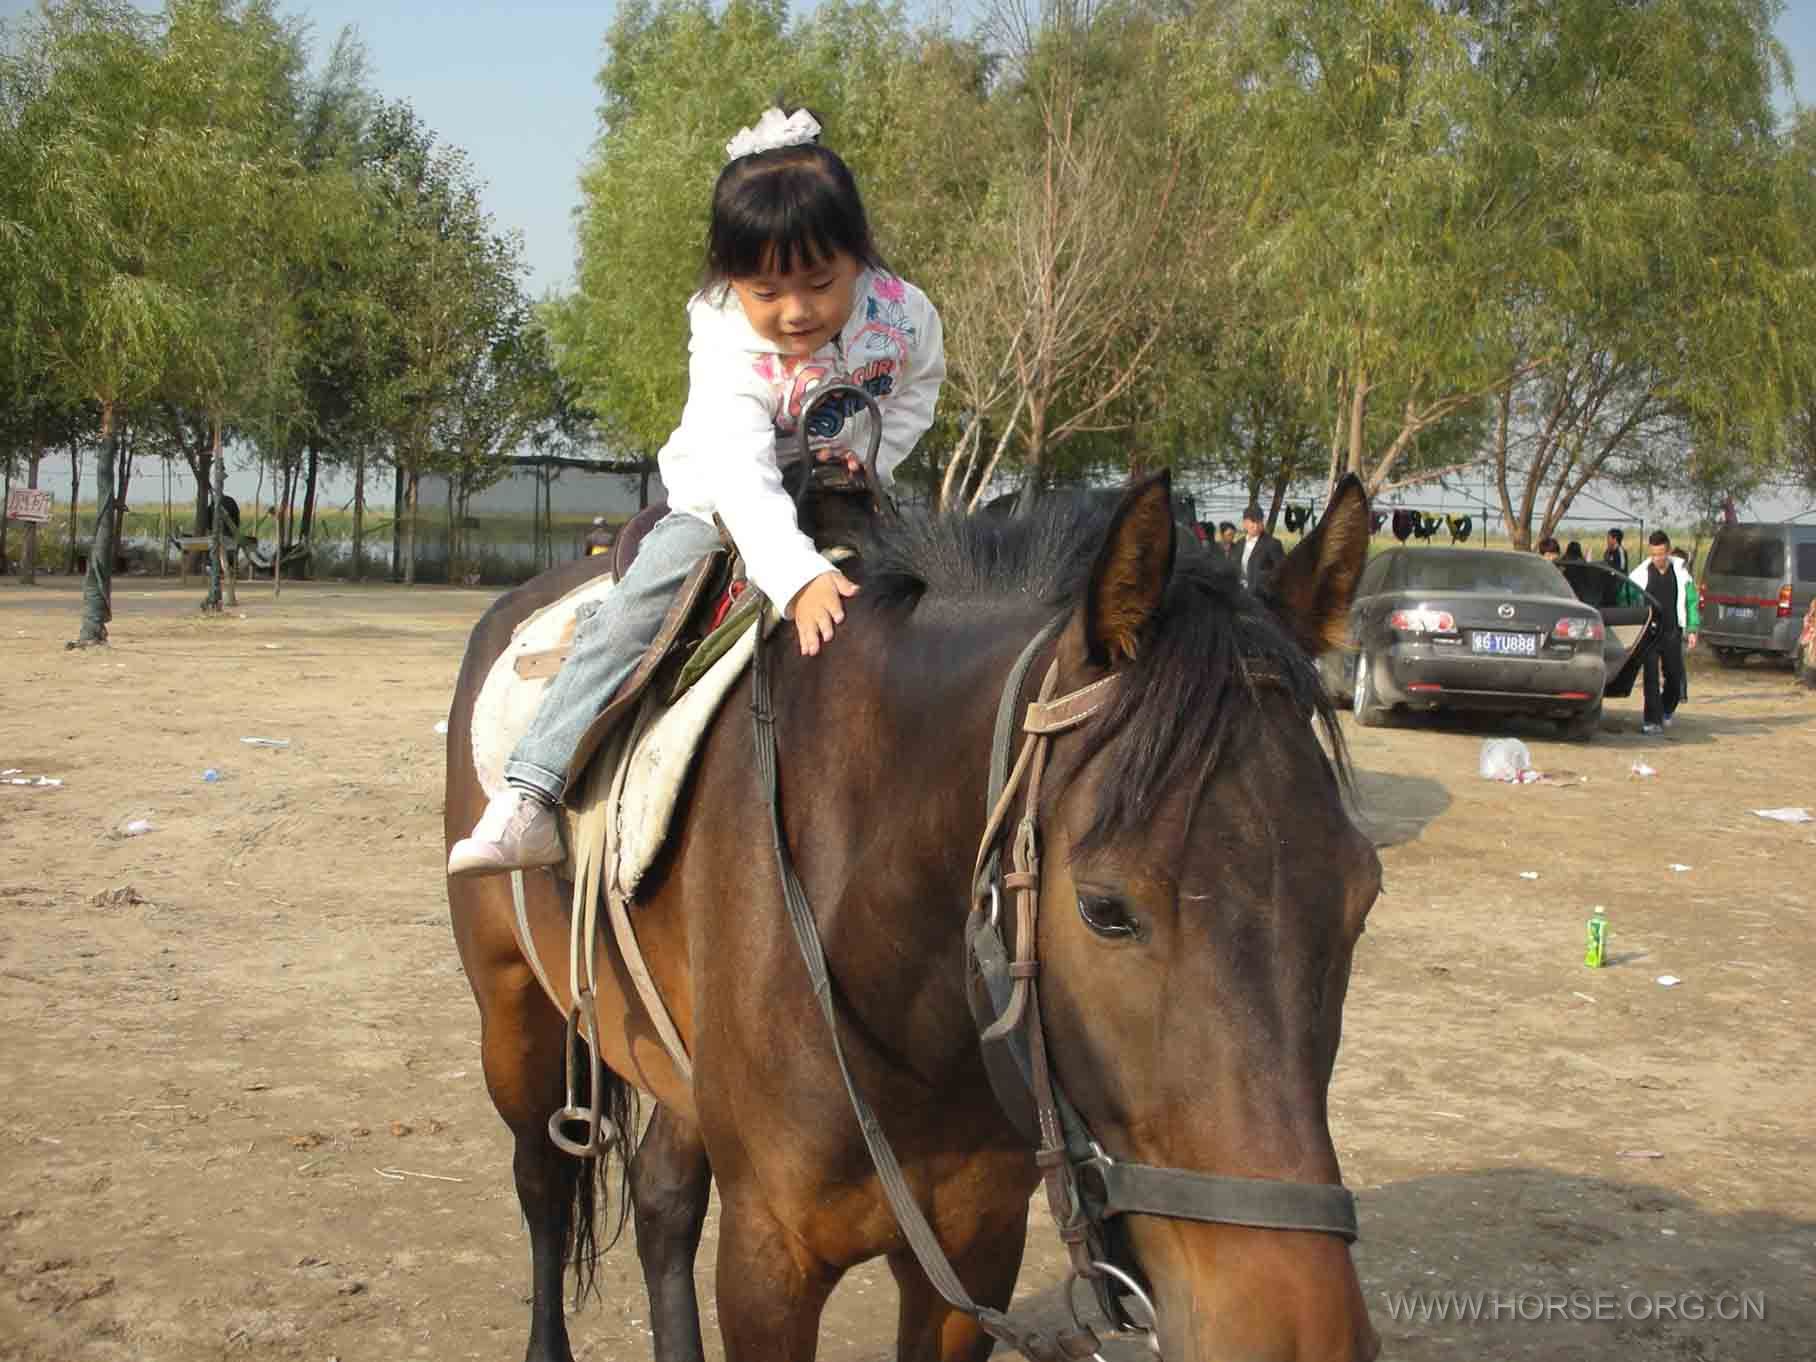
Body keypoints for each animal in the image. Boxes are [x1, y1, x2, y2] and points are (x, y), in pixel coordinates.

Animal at [450, 472, 1372, 1362]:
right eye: (1105, 910)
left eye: (1361, 898)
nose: (1303, 1336)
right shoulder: (768, 1260)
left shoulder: (975, 1252)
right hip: (513, 1013)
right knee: (543, 1180)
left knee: (662, 1199)